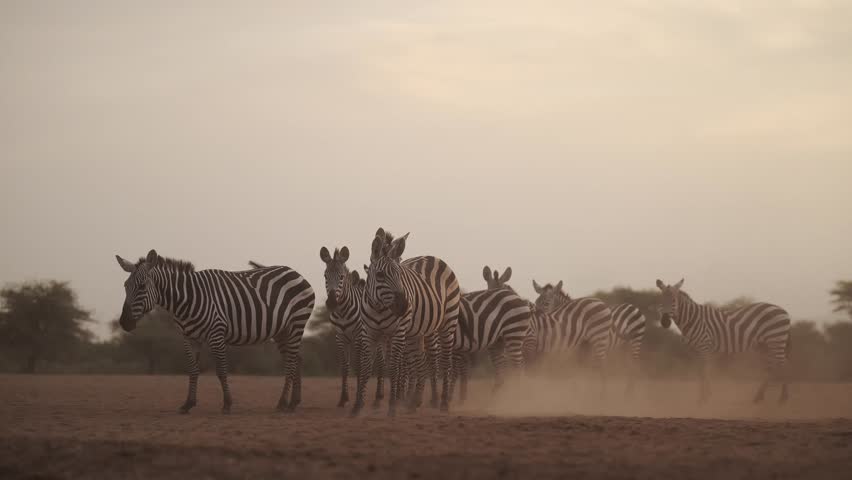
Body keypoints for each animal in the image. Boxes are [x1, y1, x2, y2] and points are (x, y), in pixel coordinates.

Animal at [115, 249, 315, 414]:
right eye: (125, 286)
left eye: (142, 286)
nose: (124, 323)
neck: (187, 299)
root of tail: (295, 272)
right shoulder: (189, 338)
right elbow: (193, 369)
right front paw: (188, 404)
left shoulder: (216, 333)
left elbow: (221, 370)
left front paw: (227, 404)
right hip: (282, 330)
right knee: (295, 359)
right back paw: (293, 403)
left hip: (296, 323)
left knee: (291, 362)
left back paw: (282, 403)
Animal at [353, 228, 460, 416]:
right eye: (380, 275)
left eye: (400, 274)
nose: (403, 306)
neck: (379, 307)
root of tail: (432, 257)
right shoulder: (369, 332)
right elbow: (365, 366)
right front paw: (358, 407)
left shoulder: (397, 332)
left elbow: (394, 368)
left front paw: (392, 407)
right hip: (416, 332)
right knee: (421, 363)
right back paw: (414, 402)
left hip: (447, 323)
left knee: (445, 361)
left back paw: (443, 403)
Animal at [656, 278, 791, 403]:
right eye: (661, 300)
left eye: (673, 300)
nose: (665, 322)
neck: (692, 319)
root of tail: (783, 310)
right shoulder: (695, 350)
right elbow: (701, 372)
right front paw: (705, 396)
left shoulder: (704, 346)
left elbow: (704, 371)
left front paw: (704, 398)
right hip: (764, 344)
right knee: (771, 366)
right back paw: (759, 397)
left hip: (776, 339)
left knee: (782, 363)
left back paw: (783, 398)